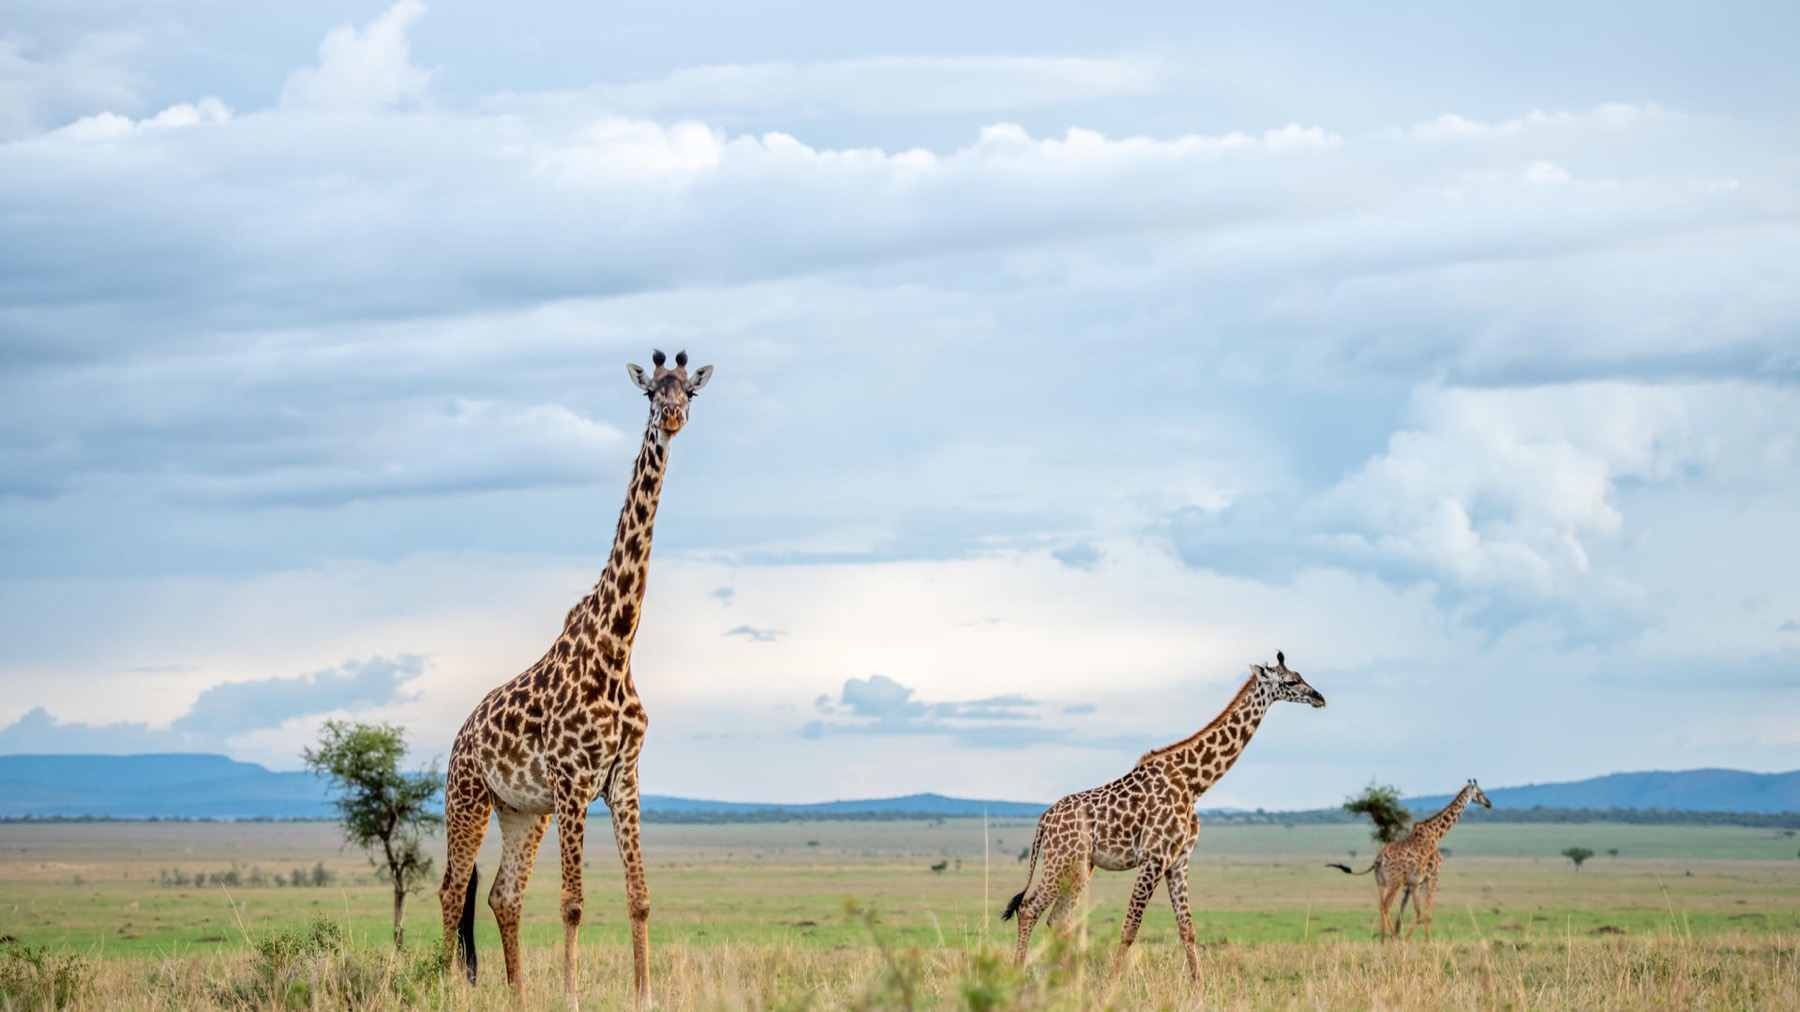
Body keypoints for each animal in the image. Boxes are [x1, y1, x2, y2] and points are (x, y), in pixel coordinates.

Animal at [437, 350, 712, 1003]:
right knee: (452, 888)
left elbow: (640, 898)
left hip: (521, 812)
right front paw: (570, 996)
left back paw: (516, 996)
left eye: (690, 391)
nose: (673, 417)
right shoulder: (572, 781)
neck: (617, 647)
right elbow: (573, 903)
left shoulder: (623, 779)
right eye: (650, 394)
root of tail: (458, 739)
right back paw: (444, 987)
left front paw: (645, 996)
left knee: (501, 895)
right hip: (468, 798)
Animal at [1002, 652, 1326, 982]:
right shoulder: (1154, 857)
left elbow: (1187, 928)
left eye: (1300, 676)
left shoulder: (1179, 860)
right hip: (1062, 861)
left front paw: (1199, 984)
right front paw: (1111, 982)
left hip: (1080, 867)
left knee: (1058, 919)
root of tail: (1044, 820)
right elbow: (1130, 928)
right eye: (1290, 681)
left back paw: (1065, 980)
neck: (1194, 783)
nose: (1319, 698)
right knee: (1029, 908)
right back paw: (1018, 974)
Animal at [1328, 779, 1491, 941]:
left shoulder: (1415, 883)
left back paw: (1383, 942)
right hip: (1395, 882)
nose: (1489, 803)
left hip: (1381, 883)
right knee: (1386, 906)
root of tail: (1378, 860)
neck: (1437, 833)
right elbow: (1428, 914)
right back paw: (1394, 939)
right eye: (1480, 792)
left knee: (1381, 905)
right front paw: (1426, 943)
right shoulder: (1433, 876)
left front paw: (1407, 941)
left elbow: (1418, 913)